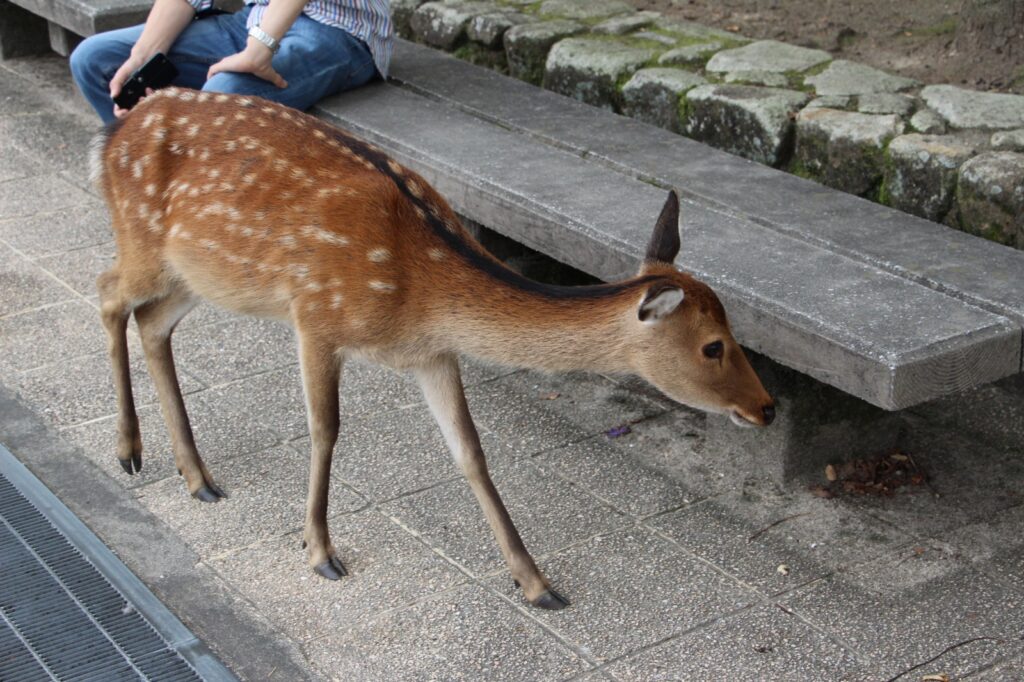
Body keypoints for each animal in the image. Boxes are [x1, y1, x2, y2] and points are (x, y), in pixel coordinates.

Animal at [92, 89, 770, 606]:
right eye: (713, 347)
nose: (765, 407)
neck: (420, 293)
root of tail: (114, 130)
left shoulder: (431, 354)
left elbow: (471, 453)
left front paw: (536, 583)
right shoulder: (316, 314)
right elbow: (325, 429)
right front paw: (320, 550)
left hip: (201, 275)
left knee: (151, 322)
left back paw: (197, 475)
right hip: (144, 242)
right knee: (107, 293)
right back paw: (128, 450)